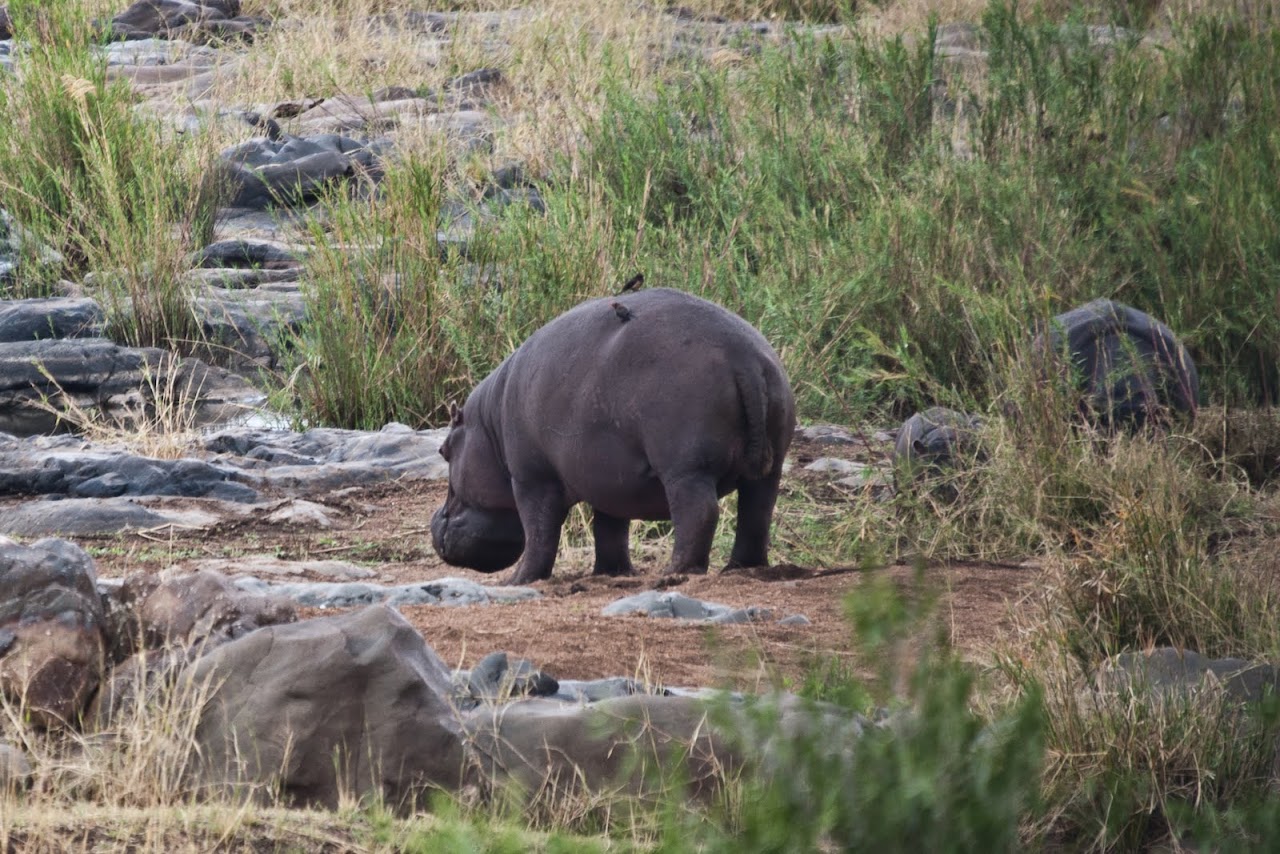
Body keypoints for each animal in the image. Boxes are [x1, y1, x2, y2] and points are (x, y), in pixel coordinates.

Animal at [431, 288, 796, 584]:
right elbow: (609, 529)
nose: (435, 520)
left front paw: (518, 581)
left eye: (444, 451)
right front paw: (612, 573)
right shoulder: (609, 480)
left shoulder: (532, 479)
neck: (487, 428)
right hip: (770, 466)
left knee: (700, 514)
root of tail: (745, 359)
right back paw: (741, 569)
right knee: (757, 515)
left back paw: (674, 572)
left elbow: (539, 531)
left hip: (687, 470)